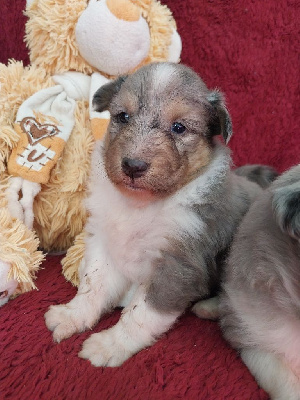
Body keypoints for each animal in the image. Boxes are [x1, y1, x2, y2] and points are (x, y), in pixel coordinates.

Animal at [46, 62, 270, 366]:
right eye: (123, 116)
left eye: (179, 127)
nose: (133, 166)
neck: (141, 206)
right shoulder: (104, 243)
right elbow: (93, 285)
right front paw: (72, 316)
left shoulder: (178, 265)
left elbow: (140, 314)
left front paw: (109, 345)